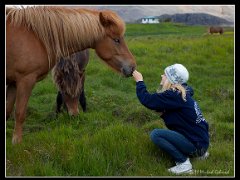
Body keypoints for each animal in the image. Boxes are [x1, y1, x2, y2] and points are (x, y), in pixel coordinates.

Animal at [6, 5, 137, 144]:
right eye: (117, 40)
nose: (132, 67)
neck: (37, 37)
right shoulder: (25, 80)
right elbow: (19, 112)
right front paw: (16, 142)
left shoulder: (14, 82)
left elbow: (8, 111)